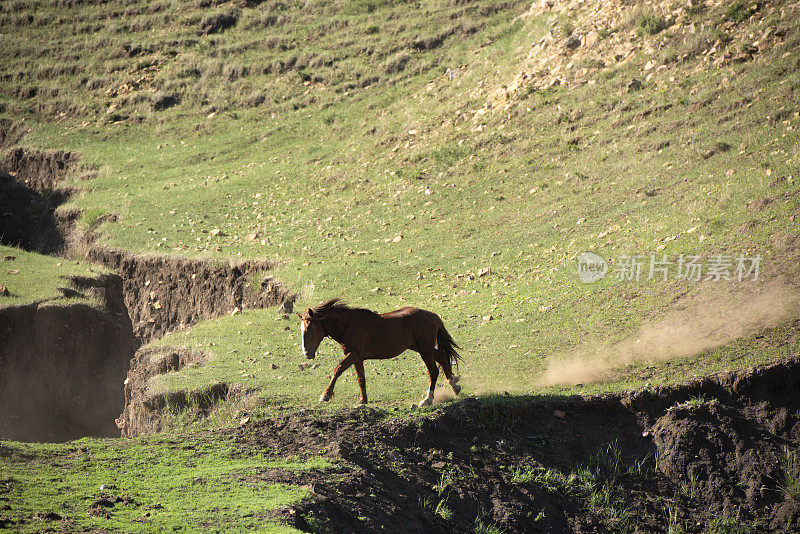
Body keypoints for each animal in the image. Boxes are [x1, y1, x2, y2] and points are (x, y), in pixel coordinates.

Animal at [298, 300, 462, 408]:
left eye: (309, 328)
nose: (307, 354)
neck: (349, 325)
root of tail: (432, 315)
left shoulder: (353, 354)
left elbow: (338, 369)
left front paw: (325, 395)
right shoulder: (357, 358)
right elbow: (361, 378)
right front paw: (363, 401)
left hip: (425, 350)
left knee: (433, 371)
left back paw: (427, 399)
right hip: (421, 348)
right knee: (443, 357)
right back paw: (454, 387)